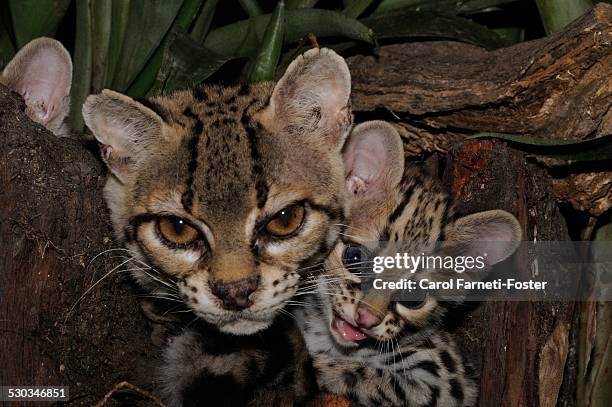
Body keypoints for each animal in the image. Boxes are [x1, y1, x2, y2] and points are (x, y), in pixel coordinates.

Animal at [298, 122, 520, 407]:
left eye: (413, 297)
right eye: (354, 257)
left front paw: (317, 368)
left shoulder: (447, 382)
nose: (365, 318)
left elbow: (367, 375)